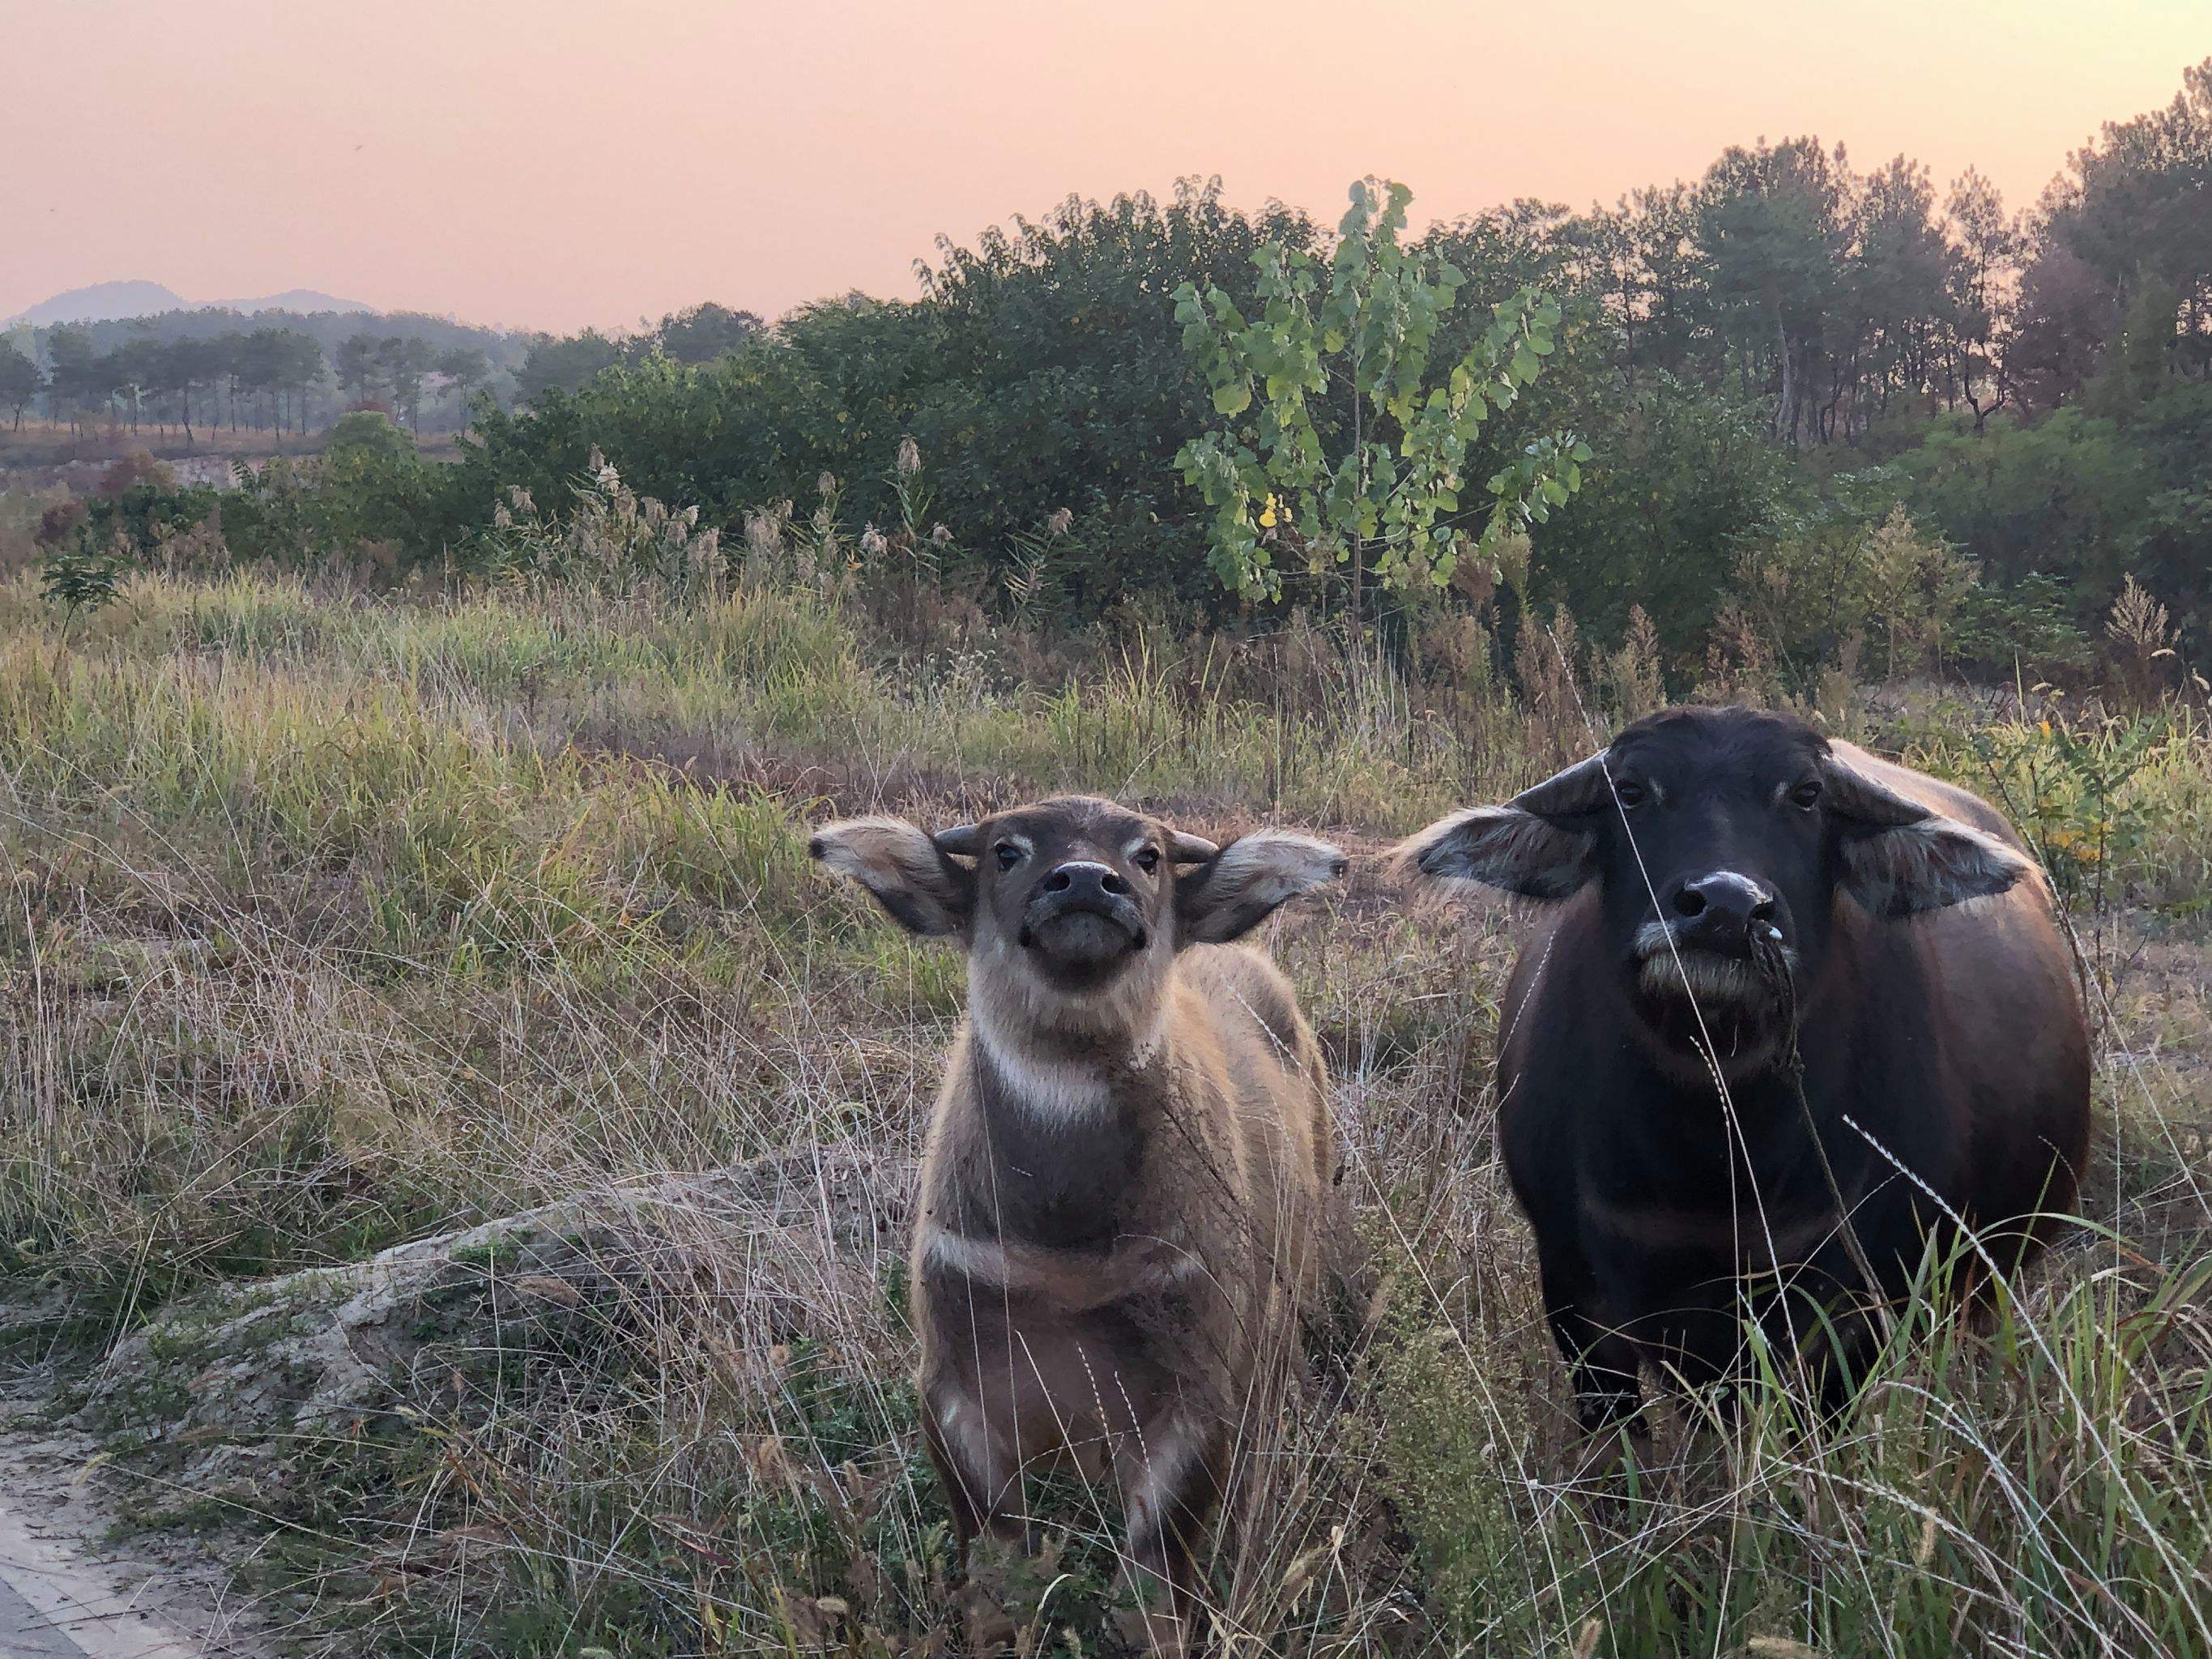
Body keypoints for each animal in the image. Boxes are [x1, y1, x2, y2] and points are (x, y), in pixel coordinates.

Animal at [1397, 707, 2088, 1433]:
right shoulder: (1572, 1292)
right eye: (1631, 790)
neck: (1713, 1156)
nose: (1725, 908)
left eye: (1807, 795)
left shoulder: (1849, 1311)